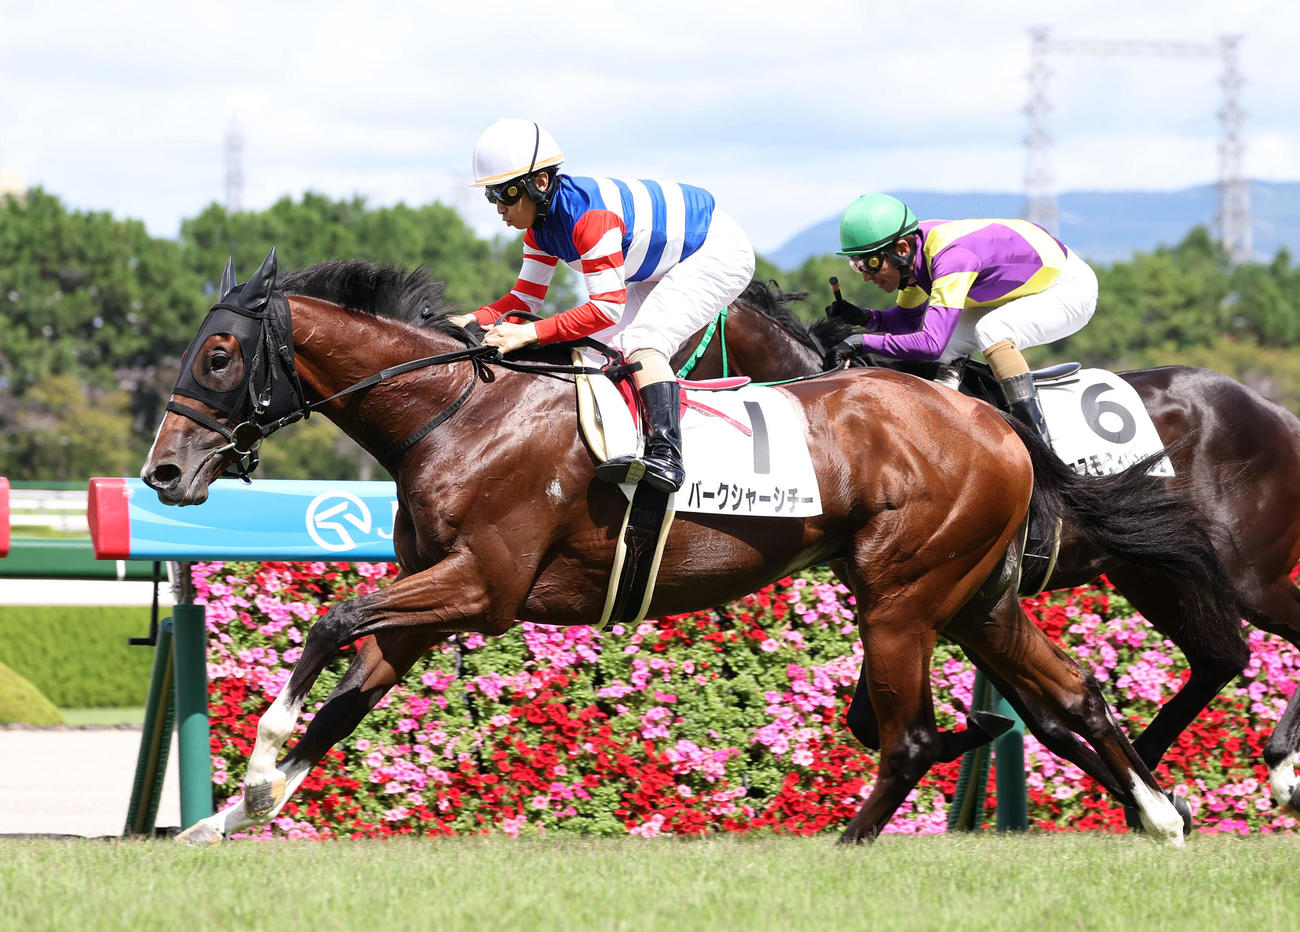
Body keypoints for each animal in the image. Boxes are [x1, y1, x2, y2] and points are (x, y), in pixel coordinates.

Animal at [141, 249, 1235, 846]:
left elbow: (331, 622)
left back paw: (848, 844)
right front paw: (229, 813)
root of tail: (995, 422)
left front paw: (257, 763)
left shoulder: (480, 586)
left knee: (915, 734)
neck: (456, 412)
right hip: (975, 595)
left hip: (901, 595)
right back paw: (1160, 812)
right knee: (1070, 696)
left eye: (220, 354)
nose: (163, 472)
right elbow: (345, 695)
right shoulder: (433, 594)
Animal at [677, 286, 1300, 814]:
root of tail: (1278, 413)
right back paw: (1152, 765)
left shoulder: (935, 591)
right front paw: (1146, 797)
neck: (836, 419)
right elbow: (1033, 723)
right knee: (1221, 658)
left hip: (1249, 573)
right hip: (1153, 573)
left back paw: (1278, 770)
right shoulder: (934, 596)